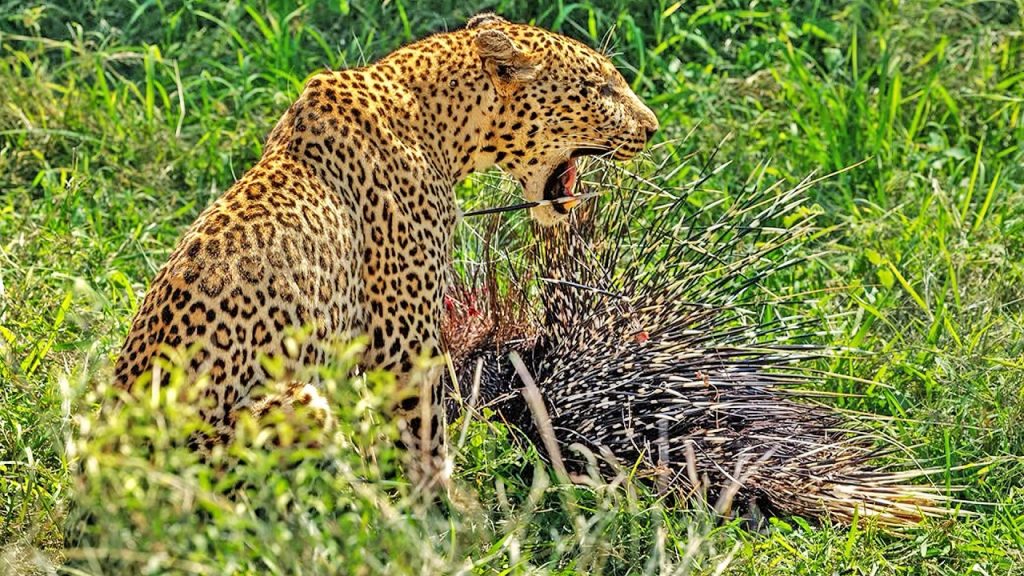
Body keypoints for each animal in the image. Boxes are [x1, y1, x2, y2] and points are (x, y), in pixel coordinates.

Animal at [112, 12, 658, 486]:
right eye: (603, 89)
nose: (652, 128)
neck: (440, 123)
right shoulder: (404, 346)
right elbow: (425, 443)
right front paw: (445, 519)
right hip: (291, 407)